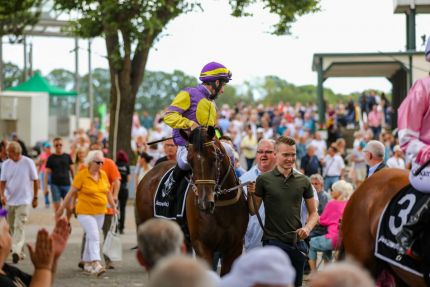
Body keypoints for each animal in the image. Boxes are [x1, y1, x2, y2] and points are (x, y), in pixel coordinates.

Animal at [134, 127, 249, 276]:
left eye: (214, 158)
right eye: (190, 161)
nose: (204, 203)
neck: (222, 210)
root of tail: (147, 176)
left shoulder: (235, 247)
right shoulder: (202, 245)